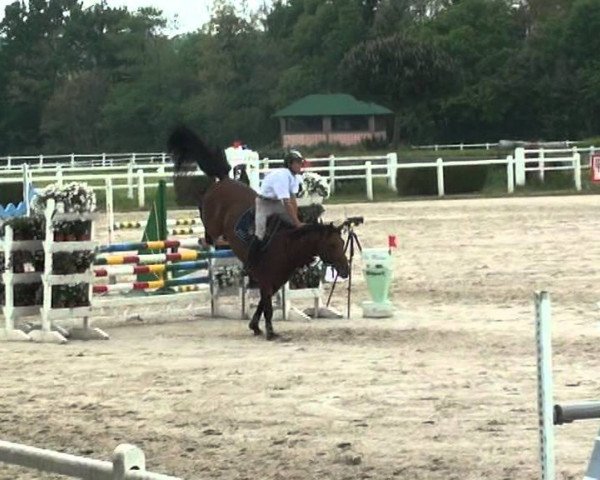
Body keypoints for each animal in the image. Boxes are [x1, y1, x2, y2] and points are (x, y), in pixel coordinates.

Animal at [166, 125, 350, 340]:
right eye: (332, 245)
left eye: (342, 243)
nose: (346, 270)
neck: (287, 245)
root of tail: (226, 180)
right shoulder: (265, 279)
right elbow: (267, 307)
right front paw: (270, 332)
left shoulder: (275, 282)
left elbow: (263, 304)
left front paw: (255, 326)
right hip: (212, 219)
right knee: (206, 222)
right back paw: (207, 239)